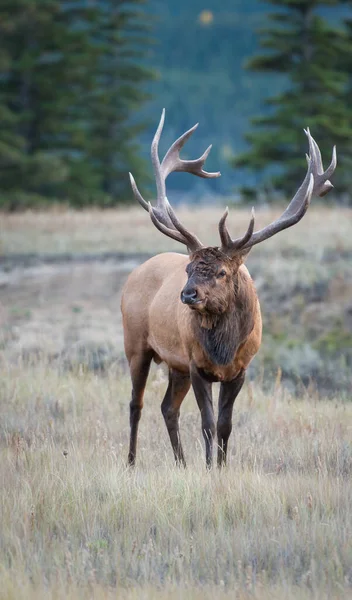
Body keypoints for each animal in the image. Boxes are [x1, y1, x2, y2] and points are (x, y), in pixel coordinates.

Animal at [121, 111, 336, 468]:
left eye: (222, 272)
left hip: (175, 365)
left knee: (168, 408)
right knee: (135, 404)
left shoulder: (240, 370)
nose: (188, 294)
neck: (223, 349)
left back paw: (181, 463)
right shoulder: (197, 366)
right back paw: (131, 462)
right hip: (136, 343)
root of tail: (134, 274)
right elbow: (207, 423)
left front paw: (220, 467)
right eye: (189, 268)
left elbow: (225, 424)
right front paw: (209, 467)